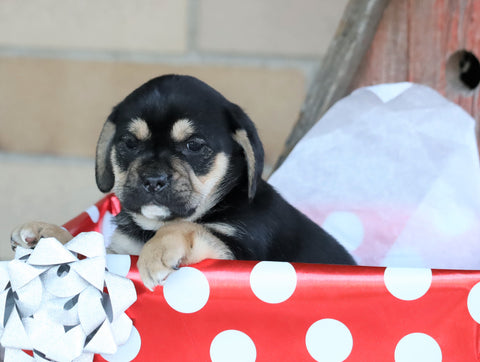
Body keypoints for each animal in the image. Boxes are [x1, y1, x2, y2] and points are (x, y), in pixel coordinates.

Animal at [12, 75, 356, 290]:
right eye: (129, 144)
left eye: (193, 145)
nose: (152, 180)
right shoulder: (120, 252)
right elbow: (82, 246)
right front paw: (49, 232)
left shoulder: (240, 254)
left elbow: (188, 228)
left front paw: (157, 250)